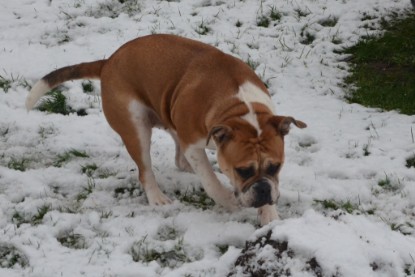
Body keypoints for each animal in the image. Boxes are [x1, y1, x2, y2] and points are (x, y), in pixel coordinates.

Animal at [25, 34, 306, 224]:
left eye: (276, 166)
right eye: (243, 170)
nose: (263, 190)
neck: (238, 107)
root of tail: (108, 62)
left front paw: (269, 215)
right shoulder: (193, 143)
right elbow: (211, 181)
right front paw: (227, 200)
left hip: (168, 112)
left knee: (177, 156)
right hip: (135, 127)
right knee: (145, 171)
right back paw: (158, 198)